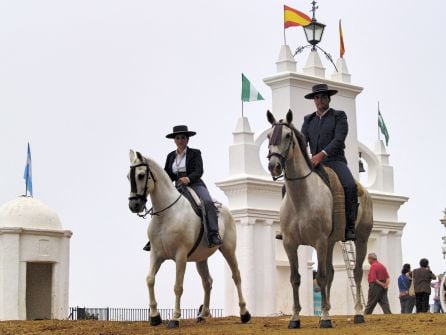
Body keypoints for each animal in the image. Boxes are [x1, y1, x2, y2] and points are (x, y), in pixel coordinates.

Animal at [127, 151, 251, 330]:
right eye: (127, 176)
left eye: (141, 175)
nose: (134, 205)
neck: (166, 214)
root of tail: (226, 211)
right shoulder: (156, 254)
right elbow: (150, 279)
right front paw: (155, 317)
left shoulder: (181, 256)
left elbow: (178, 287)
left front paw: (175, 319)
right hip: (201, 259)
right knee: (207, 282)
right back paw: (202, 315)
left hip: (228, 250)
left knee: (236, 276)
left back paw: (244, 314)